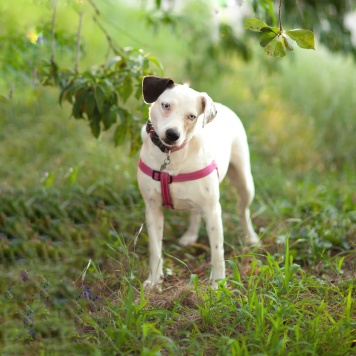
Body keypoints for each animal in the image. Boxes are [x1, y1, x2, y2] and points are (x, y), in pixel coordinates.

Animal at [137, 76, 258, 290]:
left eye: (192, 116)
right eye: (166, 105)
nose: (172, 134)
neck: (171, 156)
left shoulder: (213, 210)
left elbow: (217, 252)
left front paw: (218, 282)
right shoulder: (152, 208)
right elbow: (155, 250)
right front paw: (154, 280)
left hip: (245, 182)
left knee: (243, 210)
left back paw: (251, 237)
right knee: (195, 212)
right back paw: (190, 236)